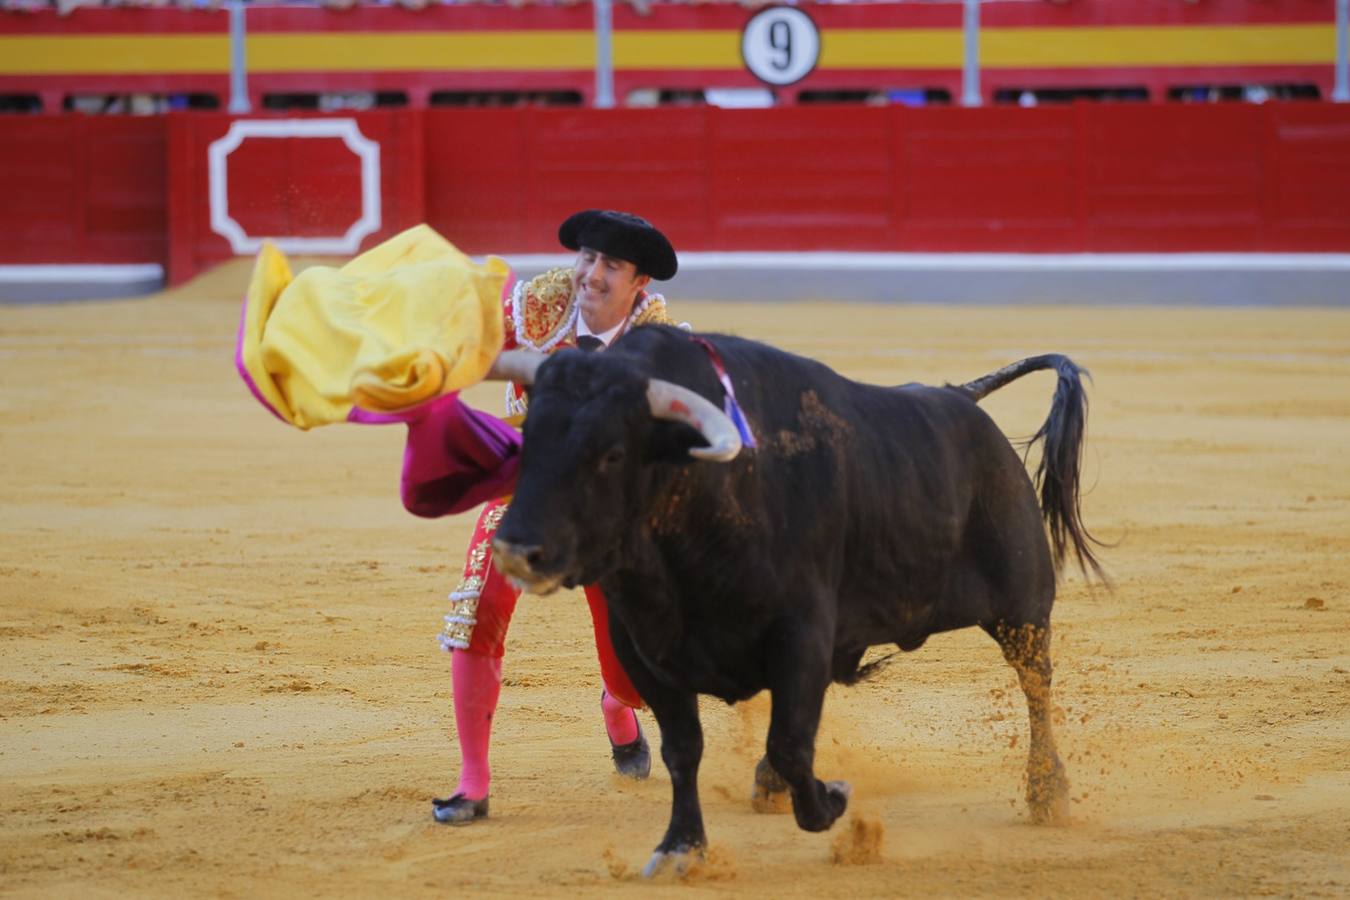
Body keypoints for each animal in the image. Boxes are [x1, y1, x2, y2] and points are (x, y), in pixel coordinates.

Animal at [491, 325, 1101, 879]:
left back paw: (1048, 792)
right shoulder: (644, 647)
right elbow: (683, 749)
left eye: (613, 453)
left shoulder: (800, 631)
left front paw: (832, 801)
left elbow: (788, 740)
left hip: (1022, 606)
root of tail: (960, 397)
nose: (517, 549)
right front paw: (681, 847)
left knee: (1035, 683)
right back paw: (767, 784)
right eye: (527, 442)